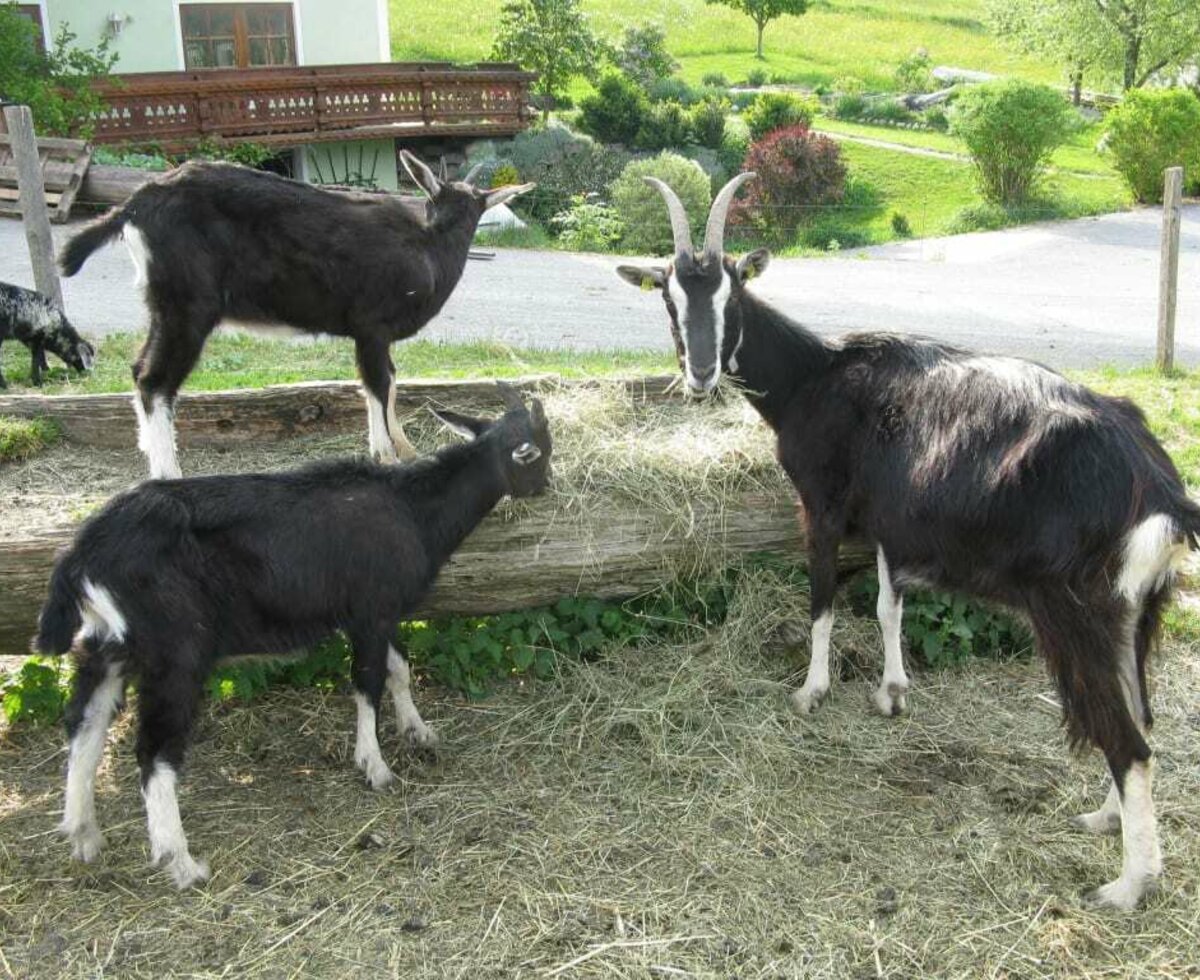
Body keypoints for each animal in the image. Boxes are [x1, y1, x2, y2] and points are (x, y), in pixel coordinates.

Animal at [36, 386, 552, 892]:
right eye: (539, 451)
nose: (548, 486)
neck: (411, 508)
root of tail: (83, 557)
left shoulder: (380, 614)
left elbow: (399, 669)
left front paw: (418, 730)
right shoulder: (369, 611)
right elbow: (367, 684)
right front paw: (375, 766)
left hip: (106, 645)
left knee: (84, 725)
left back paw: (83, 834)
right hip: (175, 652)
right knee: (154, 751)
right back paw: (181, 862)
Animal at [56, 154, 535, 479]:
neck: (429, 251)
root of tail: (133, 207)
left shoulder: (371, 335)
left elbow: (388, 382)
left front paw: (404, 447)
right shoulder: (371, 325)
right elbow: (379, 384)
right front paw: (386, 455)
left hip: (164, 306)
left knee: (139, 370)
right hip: (187, 306)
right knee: (154, 380)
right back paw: (169, 475)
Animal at [619, 170, 1200, 911]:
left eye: (733, 292)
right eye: (669, 295)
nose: (700, 374)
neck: (816, 377)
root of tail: (1161, 494)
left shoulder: (823, 507)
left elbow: (823, 601)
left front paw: (812, 691)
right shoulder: (890, 522)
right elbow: (888, 605)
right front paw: (892, 691)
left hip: (1079, 611)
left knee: (1129, 741)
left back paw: (1129, 883)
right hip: (1139, 611)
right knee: (1141, 717)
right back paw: (1105, 819)